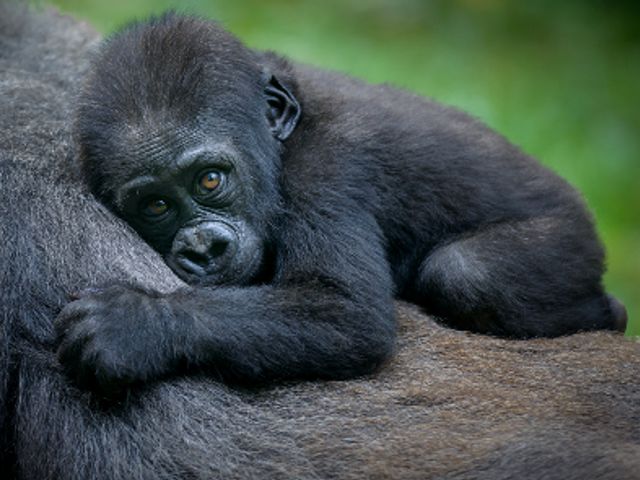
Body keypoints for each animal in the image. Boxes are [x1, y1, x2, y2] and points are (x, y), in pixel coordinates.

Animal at [1, 4, 640, 480]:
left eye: (210, 180)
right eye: (155, 206)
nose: (202, 249)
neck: (281, 133)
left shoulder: (327, 170)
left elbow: (346, 313)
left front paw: (138, 325)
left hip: (567, 239)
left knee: (468, 273)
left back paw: (608, 311)